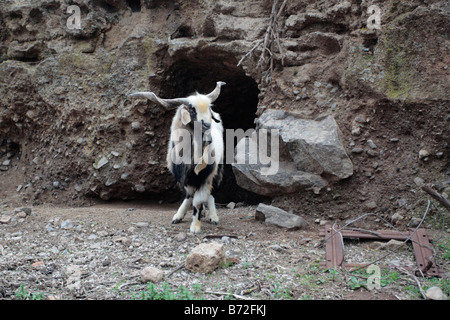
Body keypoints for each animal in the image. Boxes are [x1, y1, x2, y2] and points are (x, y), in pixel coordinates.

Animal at [130, 81, 225, 234]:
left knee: (210, 193)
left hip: (217, 169)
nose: (207, 125)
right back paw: (179, 216)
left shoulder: (205, 177)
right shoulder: (182, 175)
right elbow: (190, 196)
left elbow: (198, 201)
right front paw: (181, 217)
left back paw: (213, 217)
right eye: (192, 110)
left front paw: (195, 227)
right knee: (190, 195)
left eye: (209, 109)